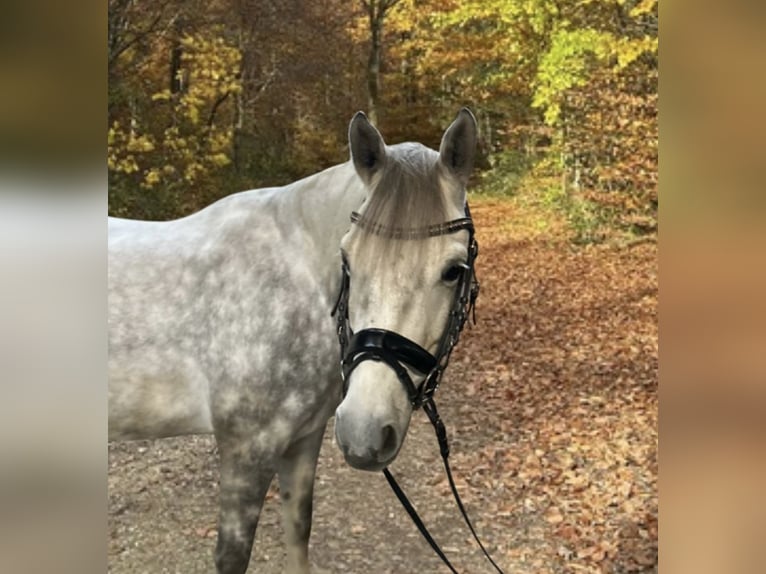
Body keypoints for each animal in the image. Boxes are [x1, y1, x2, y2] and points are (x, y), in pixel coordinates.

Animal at [108, 108, 479, 574]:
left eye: (453, 270)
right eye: (347, 261)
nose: (366, 431)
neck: (293, 280)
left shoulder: (304, 438)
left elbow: (299, 527)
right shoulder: (246, 451)